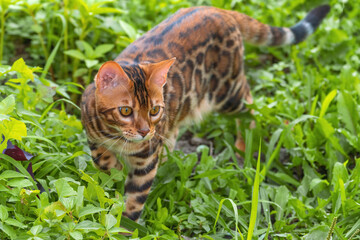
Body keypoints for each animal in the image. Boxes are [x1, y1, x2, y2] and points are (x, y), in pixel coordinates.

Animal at [80, 4, 330, 221]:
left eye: (154, 110)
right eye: (125, 111)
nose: (144, 132)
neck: (116, 136)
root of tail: (218, 9)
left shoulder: (146, 162)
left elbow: (134, 201)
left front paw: (124, 226)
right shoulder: (92, 133)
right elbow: (101, 159)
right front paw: (115, 169)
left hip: (227, 92)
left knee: (249, 103)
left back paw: (243, 143)